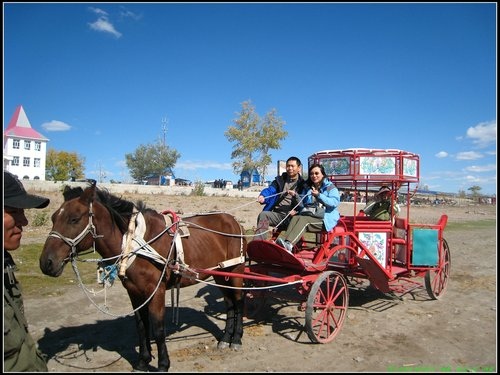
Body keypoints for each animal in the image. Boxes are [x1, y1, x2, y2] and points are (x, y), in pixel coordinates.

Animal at [40, 183, 247, 374]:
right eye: (53, 218)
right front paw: (143, 361)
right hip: (220, 274)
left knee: (238, 302)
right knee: (229, 303)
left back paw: (236, 338)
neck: (133, 242)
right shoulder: (134, 292)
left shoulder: (156, 291)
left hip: (235, 271)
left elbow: (158, 328)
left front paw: (163, 365)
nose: (46, 263)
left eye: (74, 219)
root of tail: (233, 220)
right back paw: (225, 339)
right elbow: (141, 325)